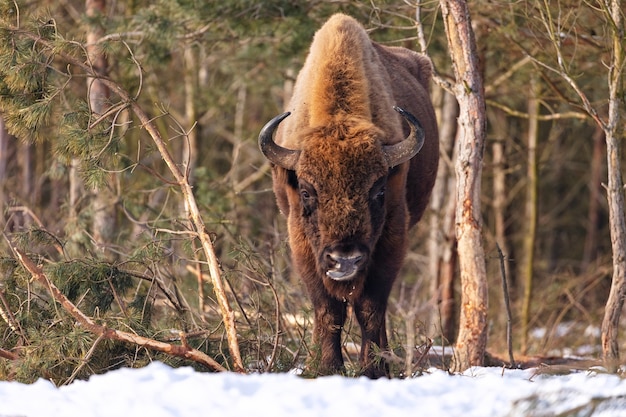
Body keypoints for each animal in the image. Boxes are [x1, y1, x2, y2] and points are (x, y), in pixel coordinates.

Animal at [256, 13, 436, 376]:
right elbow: (329, 309)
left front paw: (373, 369)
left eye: (379, 190)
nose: (345, 260)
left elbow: (369, 307)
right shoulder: (302, 243)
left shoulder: (392, 237)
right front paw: (324, 367)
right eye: (307, 192)